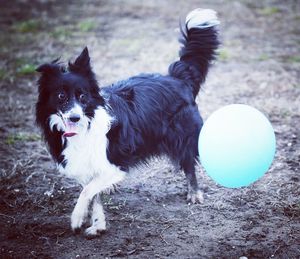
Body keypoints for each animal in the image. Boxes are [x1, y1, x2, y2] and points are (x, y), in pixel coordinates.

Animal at [35, 8, 220, 238]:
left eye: (83, 96)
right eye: (61, 96)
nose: (74, 118)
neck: (86, 124)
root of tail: (177, 77)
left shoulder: (115, 161)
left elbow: (87, 191)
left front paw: (77, 218)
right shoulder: (89, 165)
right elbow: (93, 195)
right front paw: (98, 224)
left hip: (181, 135)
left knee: (188, 163)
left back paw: (194, 193)